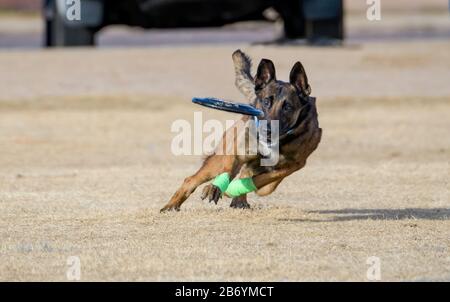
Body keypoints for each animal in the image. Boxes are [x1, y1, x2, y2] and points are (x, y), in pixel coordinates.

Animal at [160, 49, 322, 211]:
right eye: (266, 102)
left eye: (288, 107)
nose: (266, 131)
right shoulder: (237, 152)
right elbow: (227, 170)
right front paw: (215, 187)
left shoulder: (293, 166)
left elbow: (263, 178)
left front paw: (234, 190)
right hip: (218, 160)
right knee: (192, 179)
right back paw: (171, 205)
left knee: (249, 175)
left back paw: (238, 197)